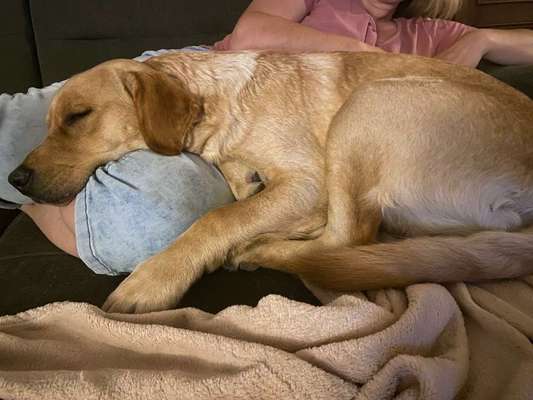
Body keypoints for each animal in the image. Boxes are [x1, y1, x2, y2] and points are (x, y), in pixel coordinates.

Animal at [10, 50, 532, 312]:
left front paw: (155, 279)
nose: (15, 178)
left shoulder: (309, 183)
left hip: (368, 103)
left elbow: (219, 219)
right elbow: (241, 194)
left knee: (347, 238)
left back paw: (261, 251)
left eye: (78, 117)